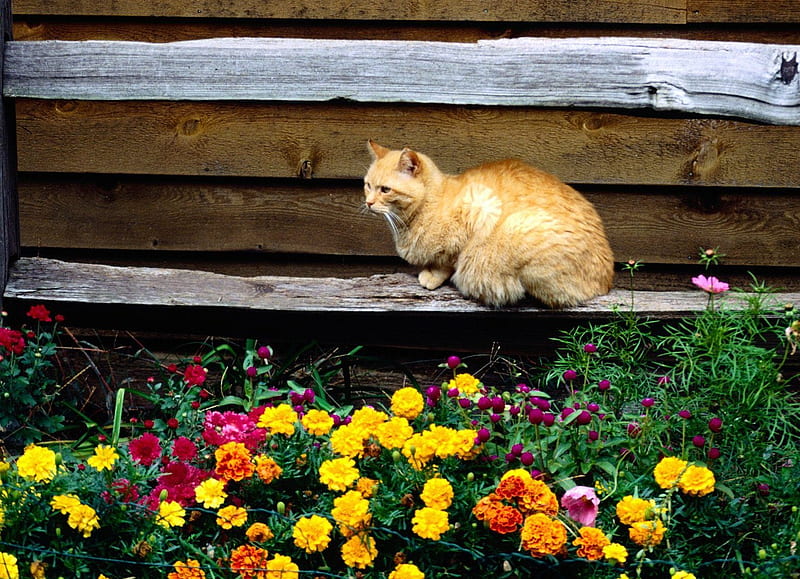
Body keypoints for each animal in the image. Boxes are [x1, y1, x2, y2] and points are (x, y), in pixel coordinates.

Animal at [366, 141, 616, 310]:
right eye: (367, 185)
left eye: (385, 190)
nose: (368, 202)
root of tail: (607, 283)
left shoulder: (479, 210)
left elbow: (448, 261)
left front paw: (432, 276)